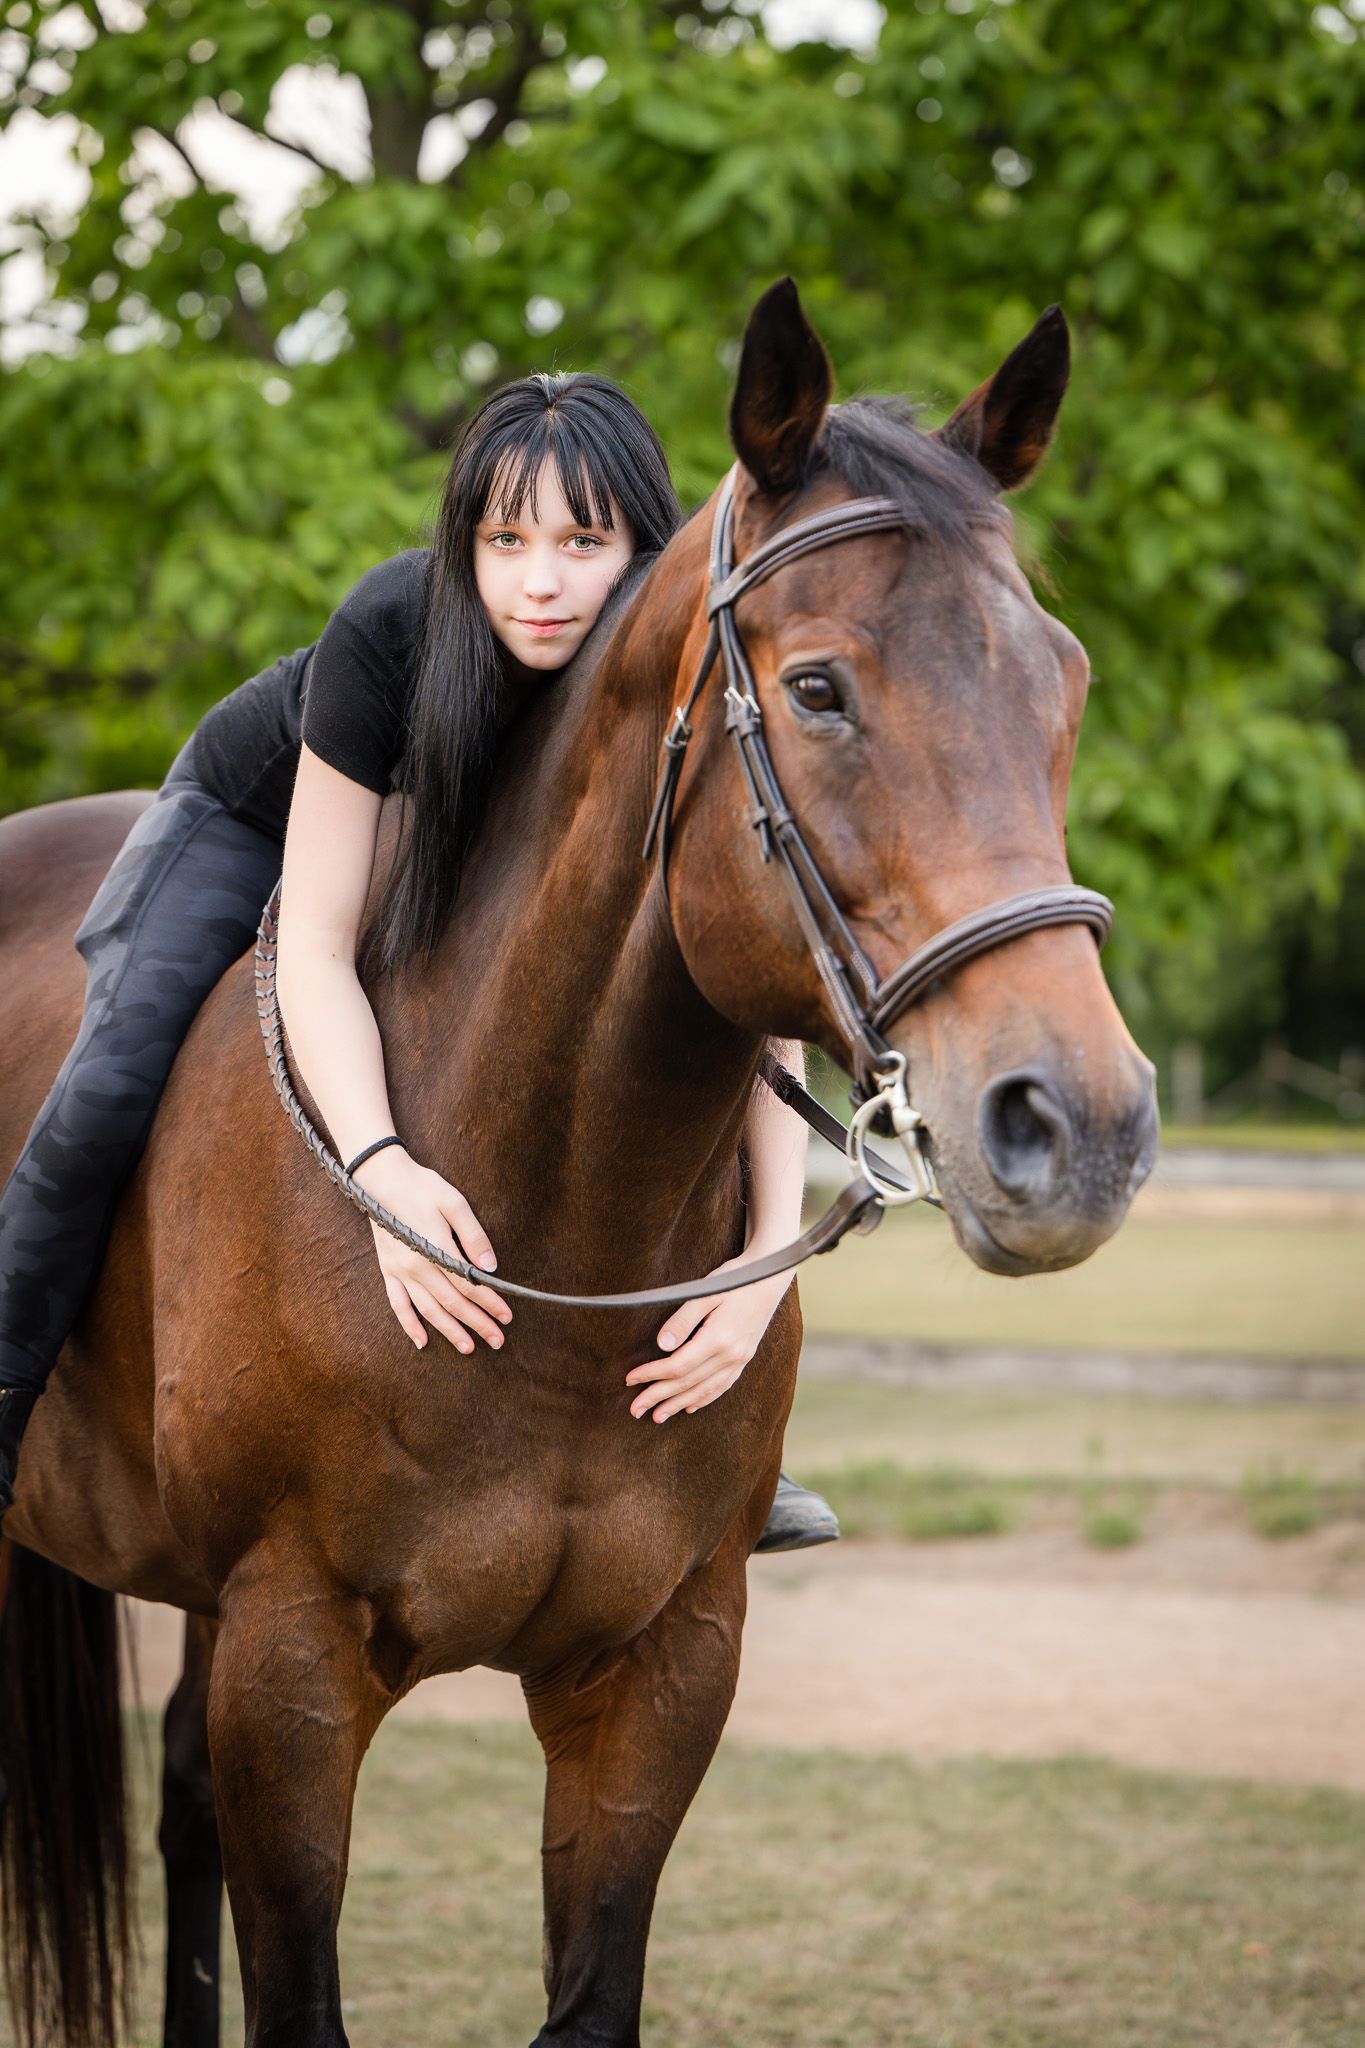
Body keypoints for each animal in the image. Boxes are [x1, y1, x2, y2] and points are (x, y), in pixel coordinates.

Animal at [0, 277, 1157, 2048]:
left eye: (1065, 683)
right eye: (819, 691)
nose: (1076, 1125)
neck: (557, 1236)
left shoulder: (662, 1673)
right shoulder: (291, 1664)